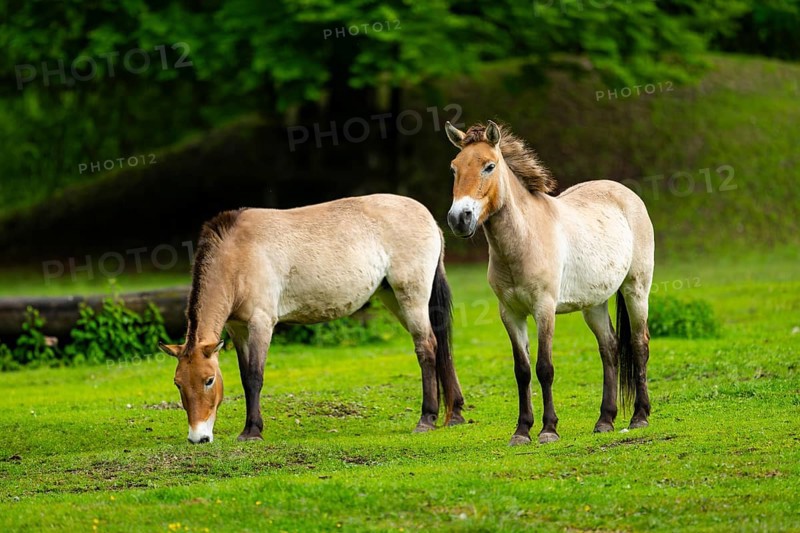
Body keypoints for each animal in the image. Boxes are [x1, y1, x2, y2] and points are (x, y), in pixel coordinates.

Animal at [158, 194, 465, 443]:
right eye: (178, 383)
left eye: (209, 380)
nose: (198, 437)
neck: (237, 255)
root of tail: (428, 218)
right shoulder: (238, 329)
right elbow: (245, 378)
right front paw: (249, 428)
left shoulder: (261, 324)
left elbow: (255, 376)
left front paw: (252, 432)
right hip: (393, 298)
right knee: (439, 346)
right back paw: (455, 413)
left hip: (411, 296)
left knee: (426, 347)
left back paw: (426, 419)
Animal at [444, 120, 654, 445]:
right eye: (454, 168)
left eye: (489, 166)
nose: (459, 219)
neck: (525, 237)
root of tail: (627, 194)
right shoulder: (510, 313)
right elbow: (522, 370)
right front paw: (521, 431)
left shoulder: (544, 309)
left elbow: (544, 367)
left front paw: (548, 430)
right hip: (594, 304)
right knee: (609, 348)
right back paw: (604, 420)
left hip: (636, 289)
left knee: (639, 344)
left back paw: (639, 417)